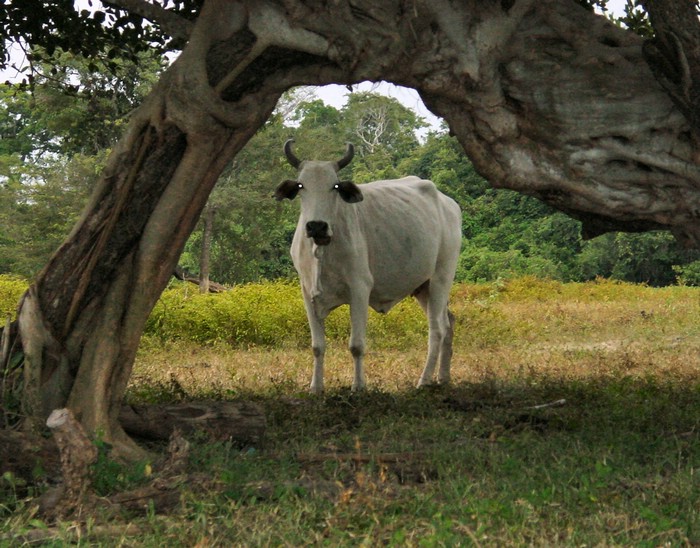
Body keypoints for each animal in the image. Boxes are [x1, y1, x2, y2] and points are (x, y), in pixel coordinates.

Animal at [276, 139, 462, 392]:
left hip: (441, 277)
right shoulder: (307, 292)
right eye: (301, 185)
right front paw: (315, 387)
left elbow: (356, 345)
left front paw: (358, 387)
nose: (316, 226)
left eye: (335, 186)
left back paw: (424, 380)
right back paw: (443, 377)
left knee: (437, 329)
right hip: (422, 287)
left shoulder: (360, 289)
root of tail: (449, 204)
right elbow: (317, 346)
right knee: (448, 322)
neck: (323, 252)